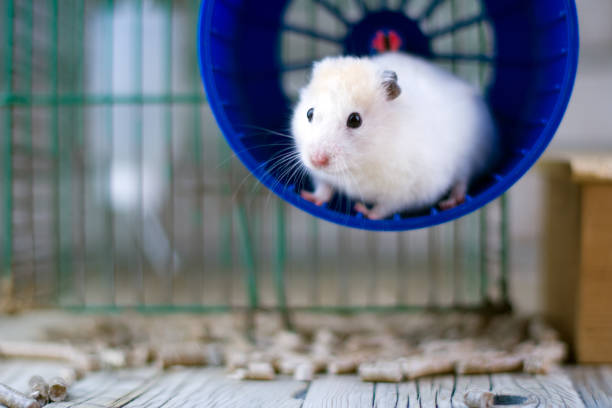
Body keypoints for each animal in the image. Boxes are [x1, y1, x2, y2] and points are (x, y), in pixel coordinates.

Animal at [292, 51, 498, 220]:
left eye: (355, 120)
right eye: (309, 113)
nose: (317, 160)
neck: (359, 164)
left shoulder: (408, 189)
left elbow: (385, 207)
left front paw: (363, 211)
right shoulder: (322, 177)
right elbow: (324, 188)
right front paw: (308, 197)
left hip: (472, 155)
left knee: (462, 180)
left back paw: (450, 202)